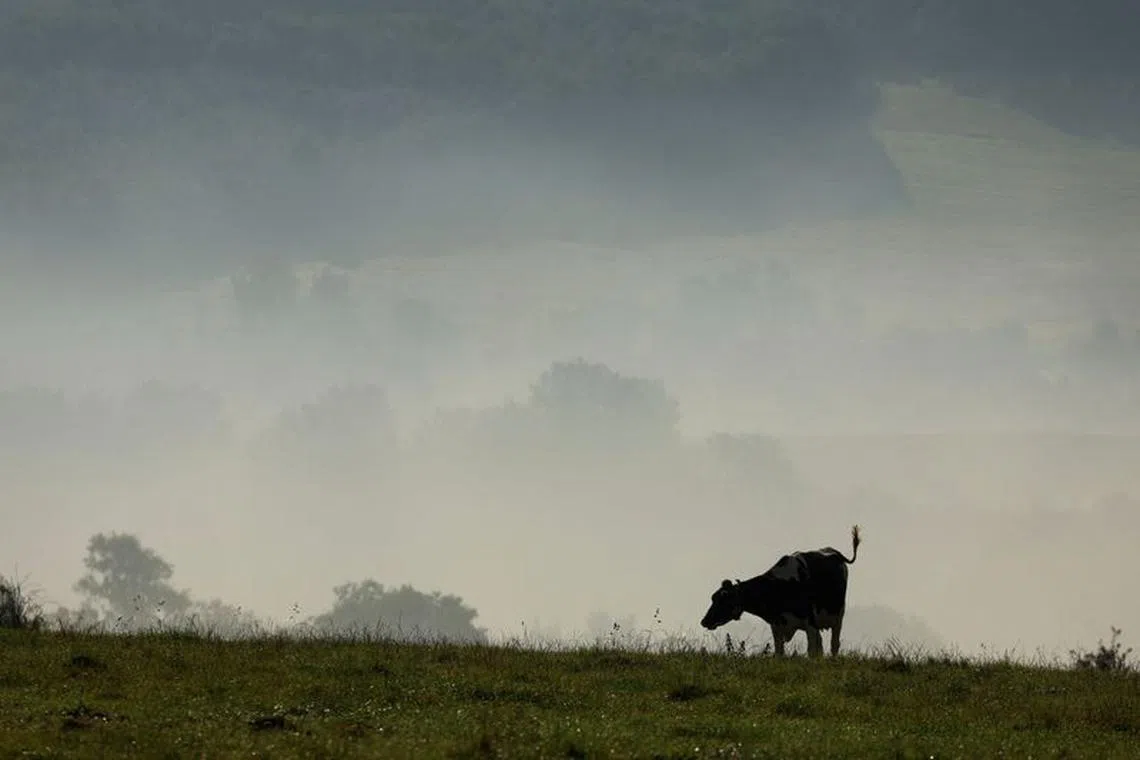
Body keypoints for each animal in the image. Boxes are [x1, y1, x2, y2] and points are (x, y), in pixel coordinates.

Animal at [700, 525, 861, 657]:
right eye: (713, 598)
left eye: (724, 600)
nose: (704, 621)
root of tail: (834, 552)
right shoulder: (776, 625)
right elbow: (779, 652)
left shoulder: (810, 624)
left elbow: (811, 652)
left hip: (839, 615)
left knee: (834, 644)